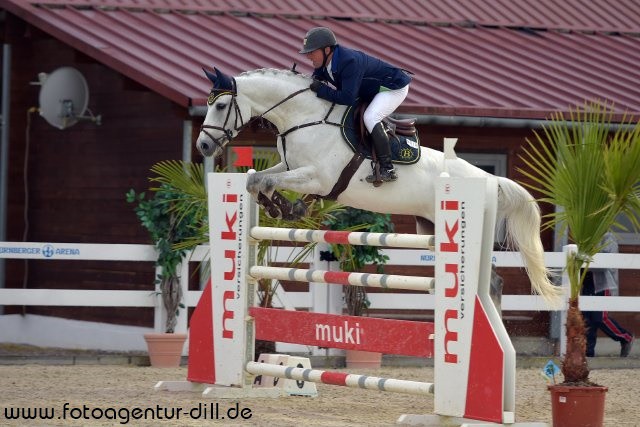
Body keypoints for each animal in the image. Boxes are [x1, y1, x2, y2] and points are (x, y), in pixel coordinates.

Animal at [198, 67, 564, 310]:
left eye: (220, 106)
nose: (203, 146)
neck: (303, 118)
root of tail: (490, 180)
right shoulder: (291, 168)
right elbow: (255, 179)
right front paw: (282, 208)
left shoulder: (317, 177)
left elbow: (268, 181)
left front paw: (285, 207)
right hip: (432, 228)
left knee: (490, 281)